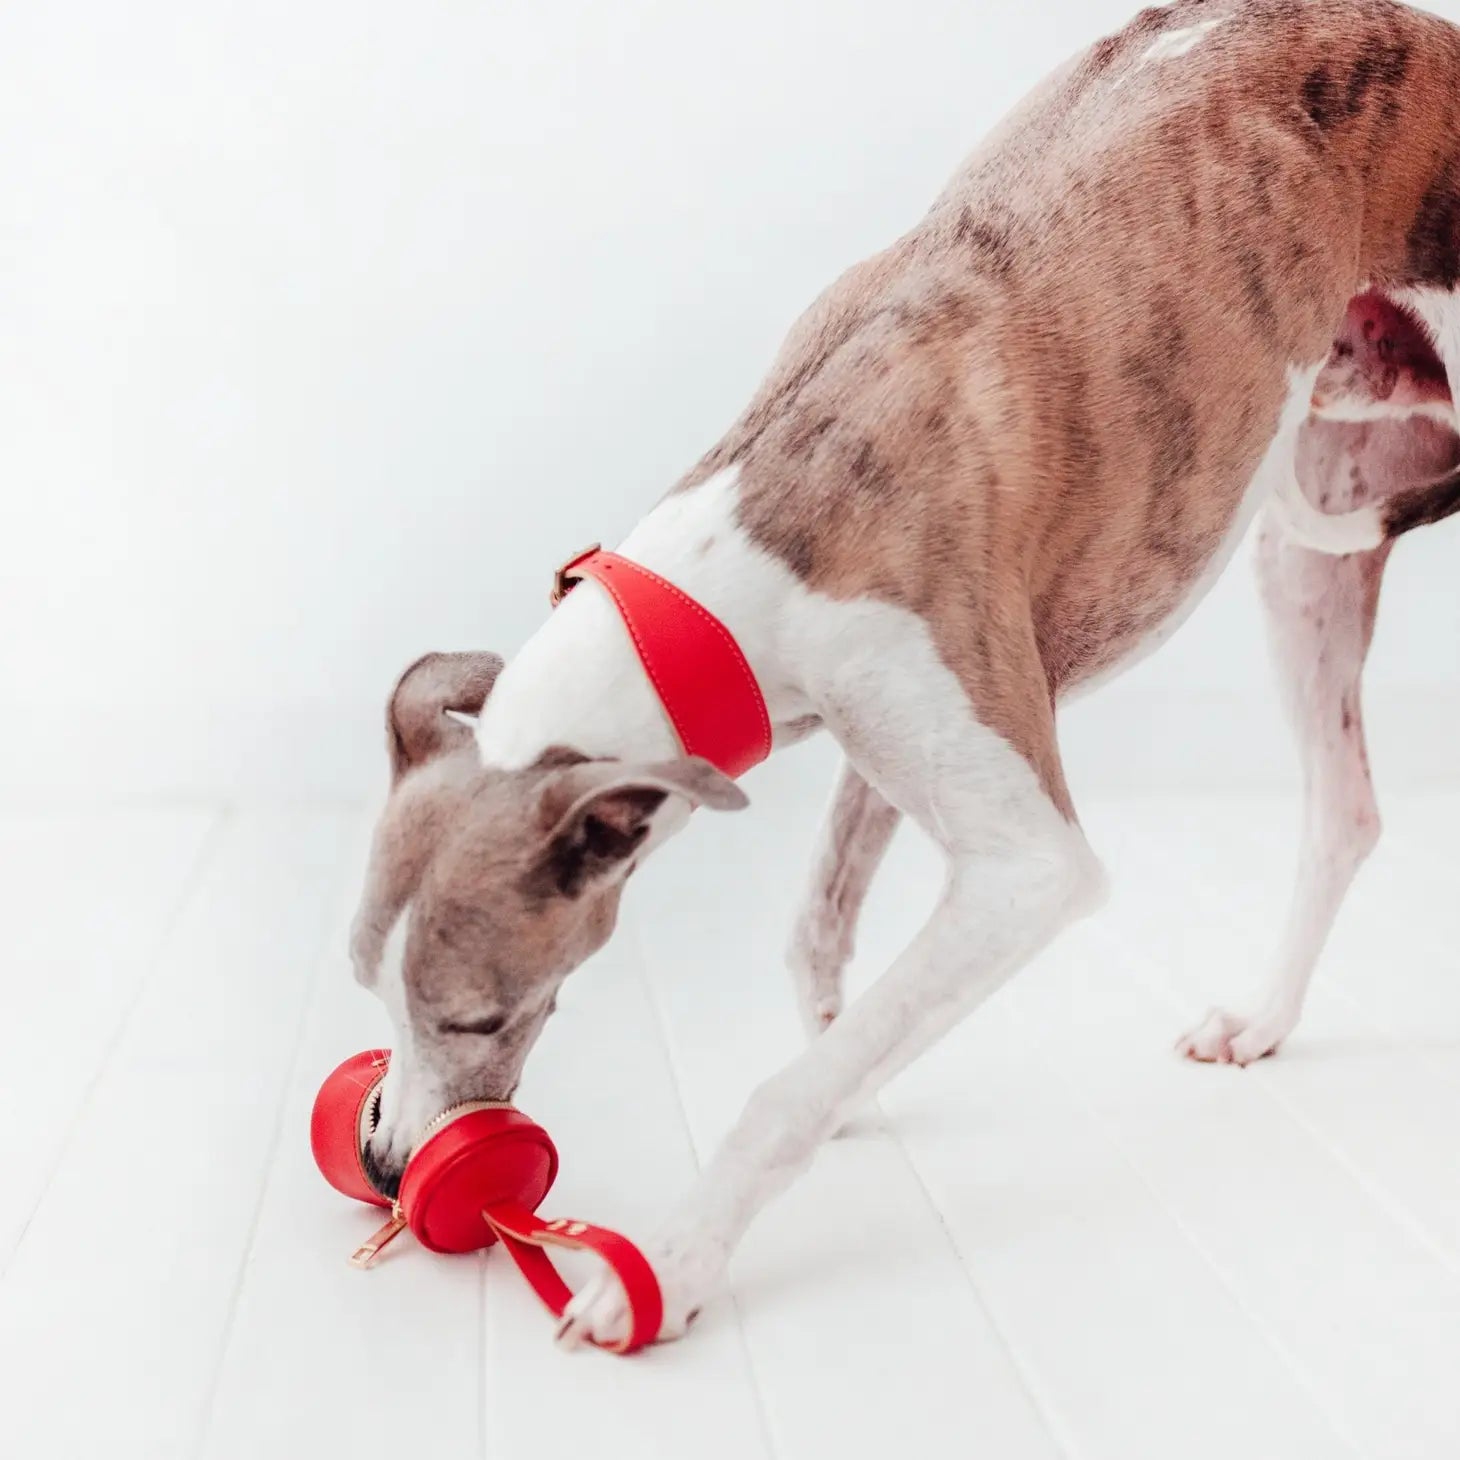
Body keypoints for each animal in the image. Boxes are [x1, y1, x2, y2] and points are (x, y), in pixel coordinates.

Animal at [347, 0, 1460, 1343]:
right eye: (364, 984)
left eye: (477, 1014)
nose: (387, 1166)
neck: (750, 538)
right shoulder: (883, 722)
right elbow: (818, 935)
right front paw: (848, 1085)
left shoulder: (1027, 863)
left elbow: (785, 1087)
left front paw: (664, 1260)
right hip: (1307, 531)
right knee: (1342, 809)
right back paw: (1261, 1019)